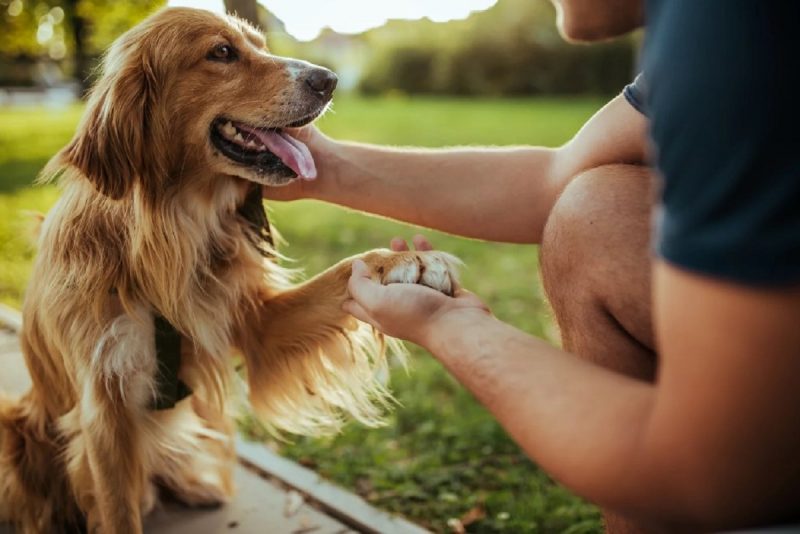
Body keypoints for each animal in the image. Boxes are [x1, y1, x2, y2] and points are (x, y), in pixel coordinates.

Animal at [0, 7, 460, 532]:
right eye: (221, 52)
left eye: (260, 45)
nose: (329, 80)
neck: (164, 237)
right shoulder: (103, 408)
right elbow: (118, 510)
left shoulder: (255, 322)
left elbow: (346, 270)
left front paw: (407, 261)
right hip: (13, 428)